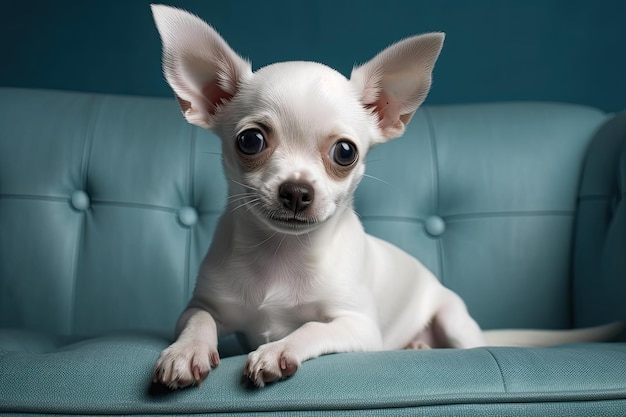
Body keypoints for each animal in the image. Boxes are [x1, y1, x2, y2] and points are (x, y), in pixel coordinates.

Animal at [150, 4, 620, 386]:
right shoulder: (201, 305)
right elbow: (199, 321)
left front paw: (278, 349)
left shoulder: (358, 327)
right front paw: (185, 352)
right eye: (250, 141)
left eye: (345, 152)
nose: (297, 191)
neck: (281, 255)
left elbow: (312, 328)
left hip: (452, 319)